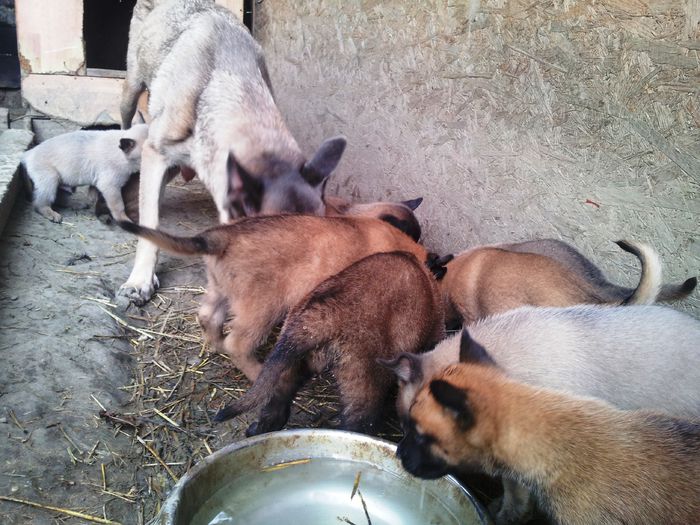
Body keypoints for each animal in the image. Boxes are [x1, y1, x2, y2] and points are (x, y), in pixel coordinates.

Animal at [20, 125, 149, 223]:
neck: (122, 154)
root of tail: (28, 153)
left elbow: (94, 193)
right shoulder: (110, 186)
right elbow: (118, 206)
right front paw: (124, 219)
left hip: (64, 183)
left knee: (60, 197)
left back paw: (78, 204)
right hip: (50, 179)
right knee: (41, 202)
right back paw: (51, 213)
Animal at [120, 214, 438, 380]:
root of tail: (220, 237)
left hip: (221, 291)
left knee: (208, 317)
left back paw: (215, 345)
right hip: (262, 309)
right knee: (238, 343)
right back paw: (256, 371)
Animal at [212, 250, 442, 434]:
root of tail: (317, 320)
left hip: (289, 363)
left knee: (276, 404)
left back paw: (257, 430)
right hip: (363, 380)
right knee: (357, 423)